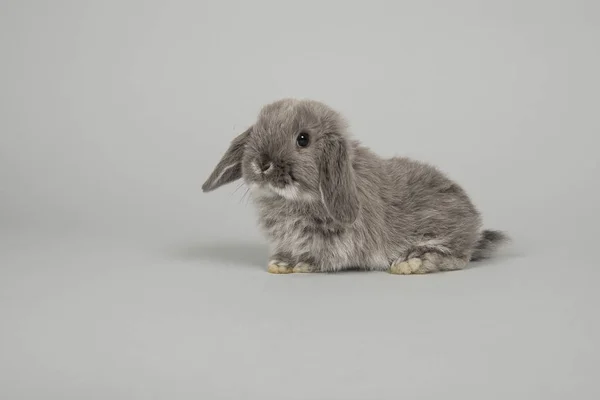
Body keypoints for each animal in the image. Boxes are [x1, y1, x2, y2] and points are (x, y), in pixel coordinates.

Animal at [202, 100, 506, 276]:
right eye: (257, 131)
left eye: (303, 139)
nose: (262, 163)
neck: (294, 200)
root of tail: (474, 226)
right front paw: (280, 263)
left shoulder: (339, 241)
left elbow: (324, 258)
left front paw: (300, 265)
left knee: (457, 257)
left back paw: (410, 262)